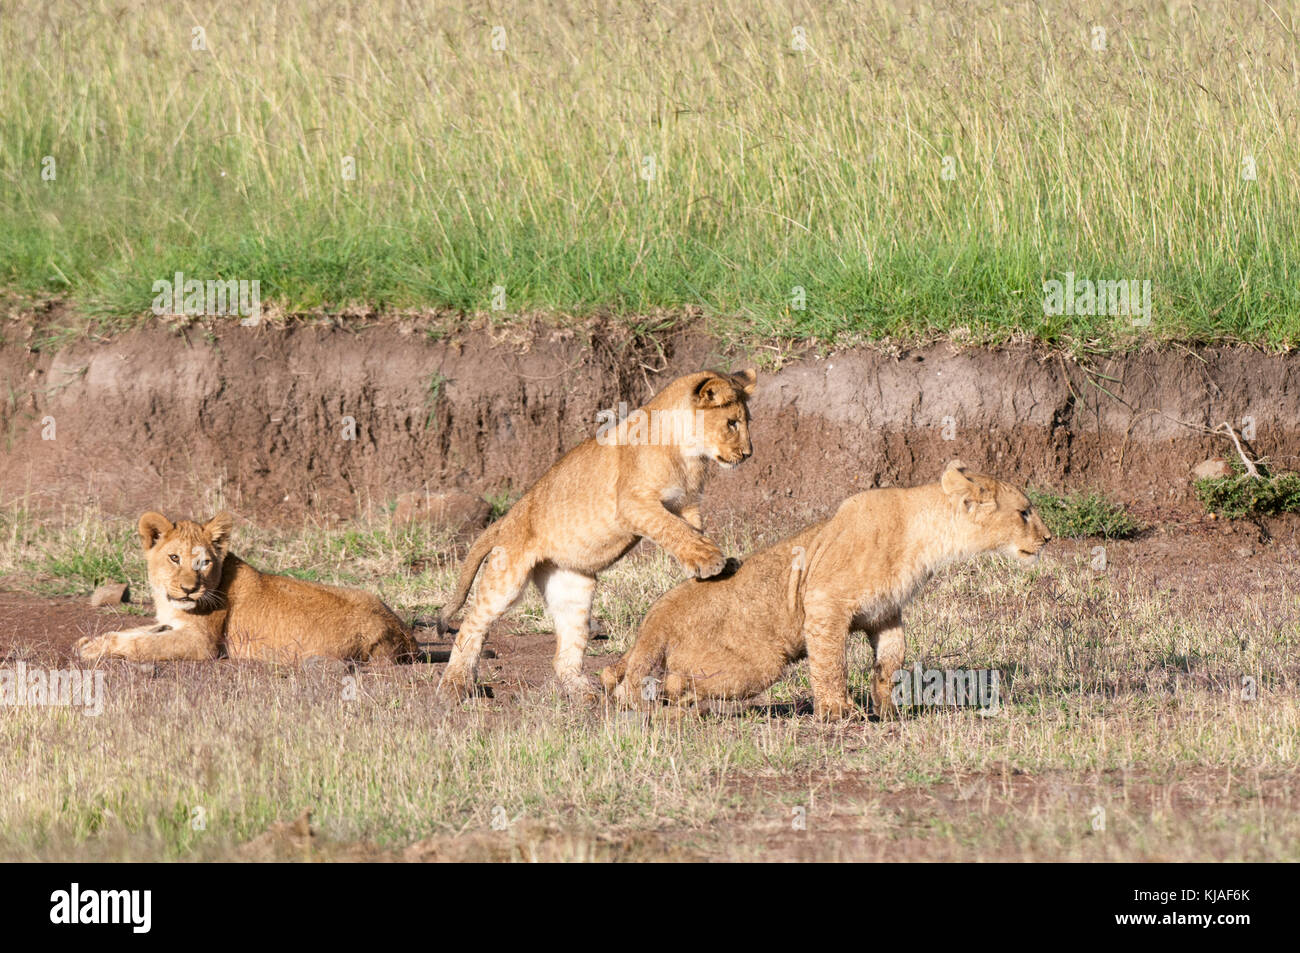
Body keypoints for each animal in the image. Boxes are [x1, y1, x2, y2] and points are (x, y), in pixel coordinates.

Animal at [76, 511, 417, 664]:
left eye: (204, 563)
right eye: (174, 558)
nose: (189, 590)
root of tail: (403, 633)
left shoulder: (203, 643)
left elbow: (142, 645)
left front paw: (94, 650)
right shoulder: (171, 623)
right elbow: (136, 631)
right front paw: (90, 641)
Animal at [436, 368, 758, 701]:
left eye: (745, 421)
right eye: (732, 423)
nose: (748, 454)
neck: (689, 454)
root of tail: (507, 517)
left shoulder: (687, 505)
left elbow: (691, 533)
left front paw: (712, 565)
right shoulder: (632, 505)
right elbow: (674, 530)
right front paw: (711, 561)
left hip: (573, 587)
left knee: (565, 650)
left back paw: (583, 693)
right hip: (507, 577)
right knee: (472, 625)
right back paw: (454, 685)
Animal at [601, 460, 1052, 721]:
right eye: (1024, 513)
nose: (1048, 539)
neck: (924, 537)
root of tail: (654, 622)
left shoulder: (885, 613)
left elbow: (890, 661)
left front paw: (887, 709)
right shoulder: (824, 602)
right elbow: (831, 662)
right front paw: (838, 712)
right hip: (758, 663)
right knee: (664, 683)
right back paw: (671, 703)